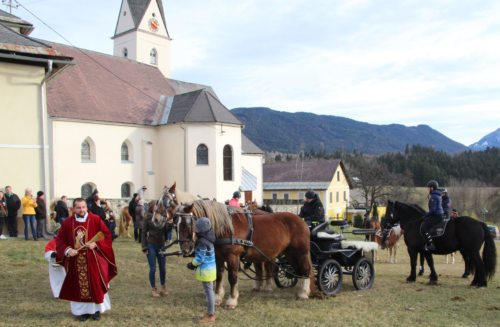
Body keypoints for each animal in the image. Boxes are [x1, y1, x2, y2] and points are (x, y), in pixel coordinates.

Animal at [172, 200, 312, 310]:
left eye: (188, 223)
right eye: (175, 226)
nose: (185, 249)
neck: (225, 228)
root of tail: (302, 221)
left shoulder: (232, 256)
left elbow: (232, 277)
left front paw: (232, 300)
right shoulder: (219, 256)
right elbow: (219, 277)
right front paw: (217, 298)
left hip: (301, 253)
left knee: (306, 270)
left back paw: (304, 293)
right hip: (290, 254)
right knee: (297, 270)